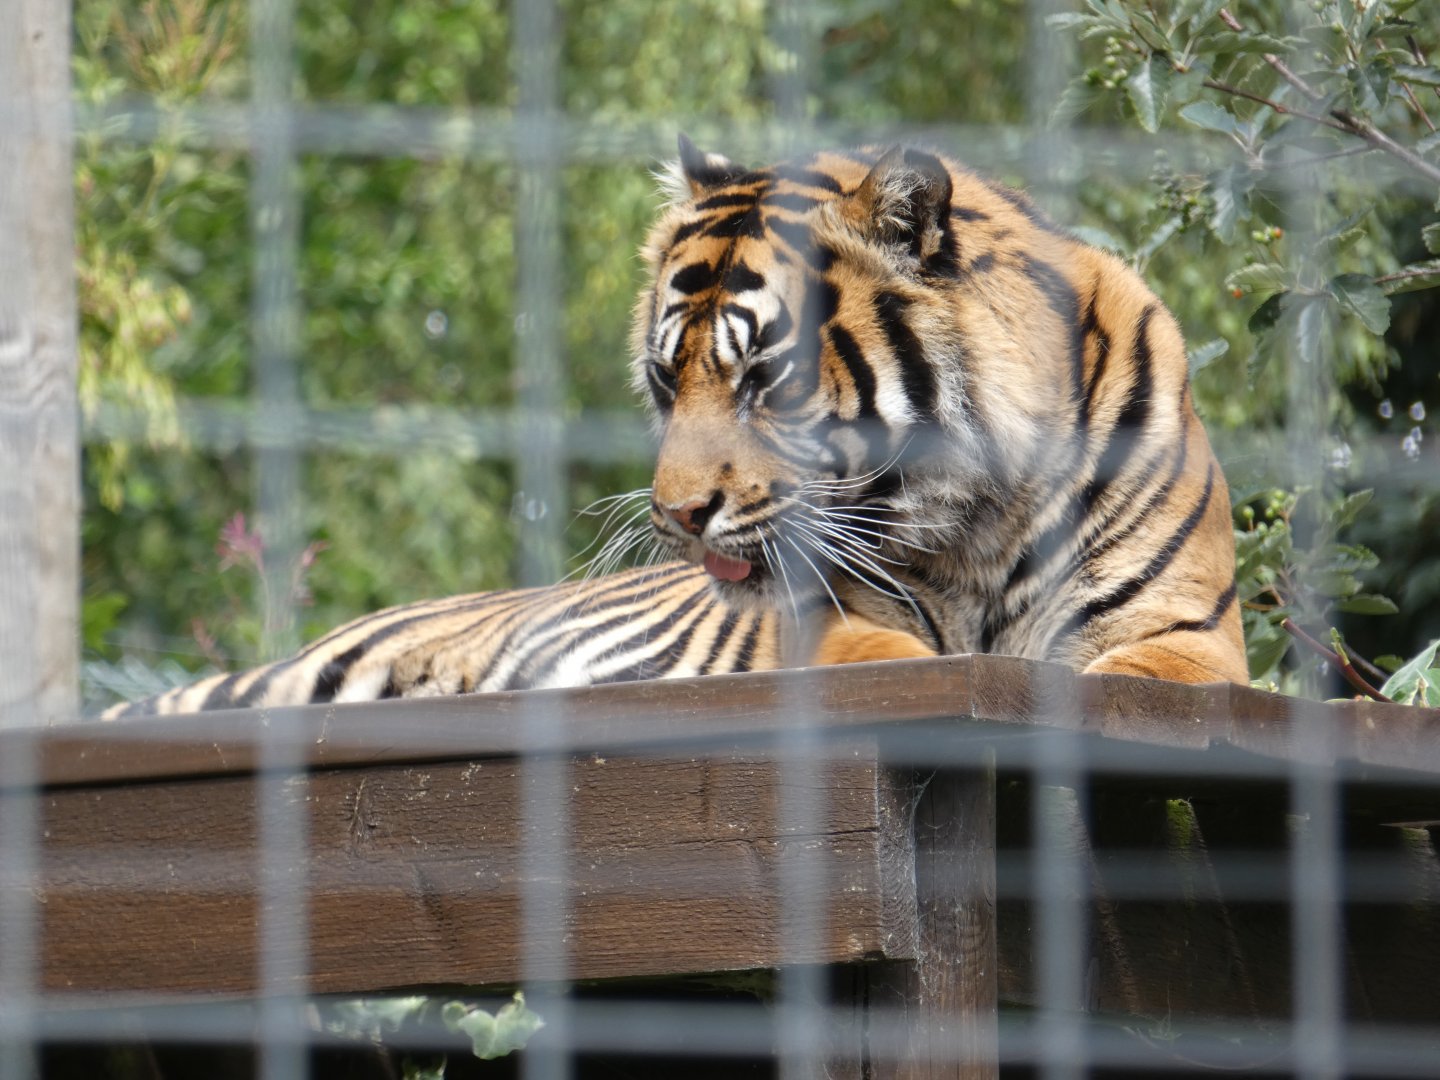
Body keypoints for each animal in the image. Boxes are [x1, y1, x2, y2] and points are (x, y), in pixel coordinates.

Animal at [102, 137, 1247, 720]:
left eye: (765, 382)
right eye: (665, 378)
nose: (678, 516)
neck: (973, 522)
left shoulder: (1188, 637)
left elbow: (1133, 683)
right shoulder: (828, 618)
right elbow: (880, 656)